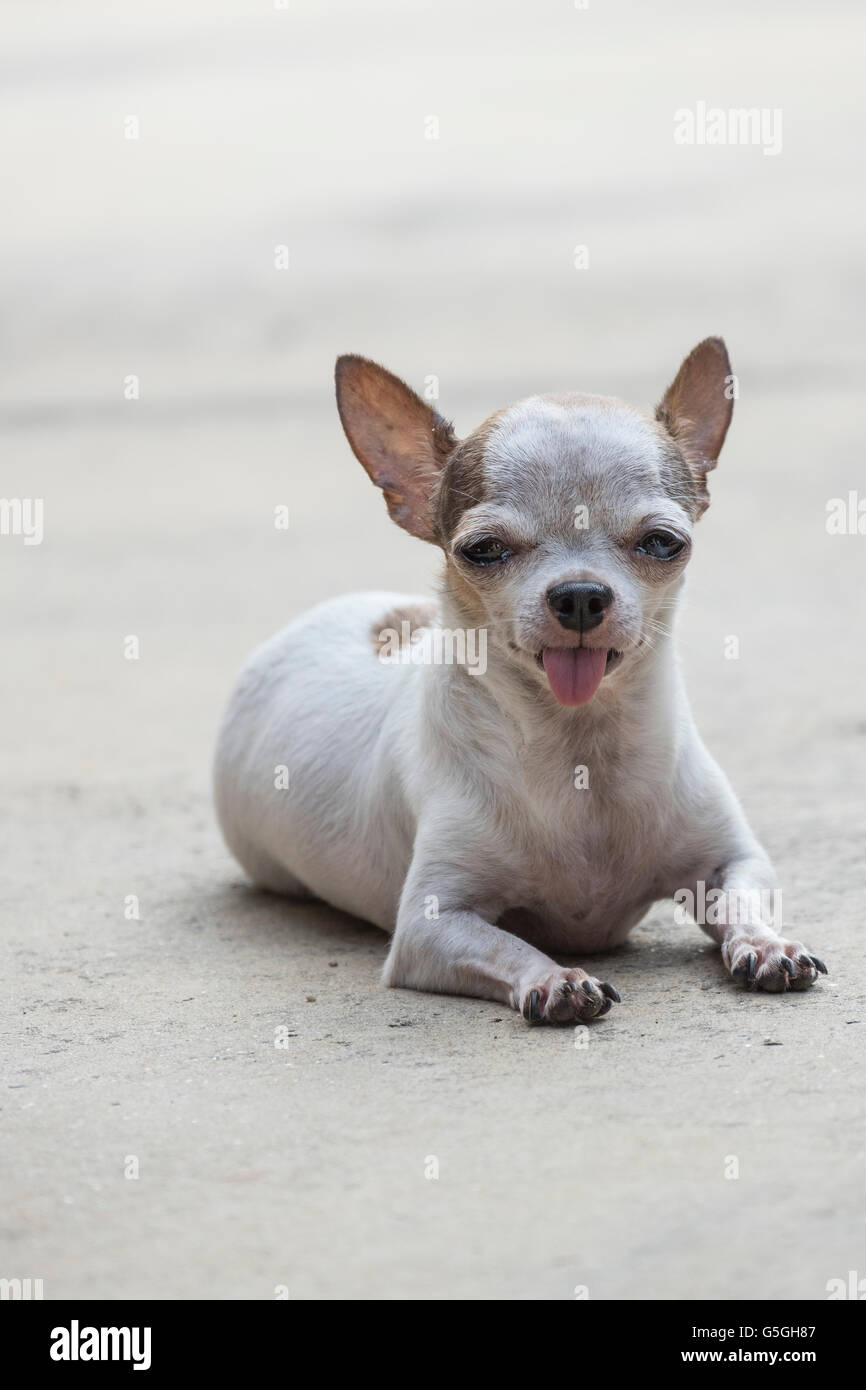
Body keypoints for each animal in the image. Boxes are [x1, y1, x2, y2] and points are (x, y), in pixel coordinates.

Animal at [215, 339, 828, 1023]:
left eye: (663, 543)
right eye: (483, 550)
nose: (580, 593)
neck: (580, 751)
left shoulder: (733, 861)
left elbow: (742, 901)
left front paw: (766, 945)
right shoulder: (430, 926)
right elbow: (507, 945)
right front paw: (555, 978)